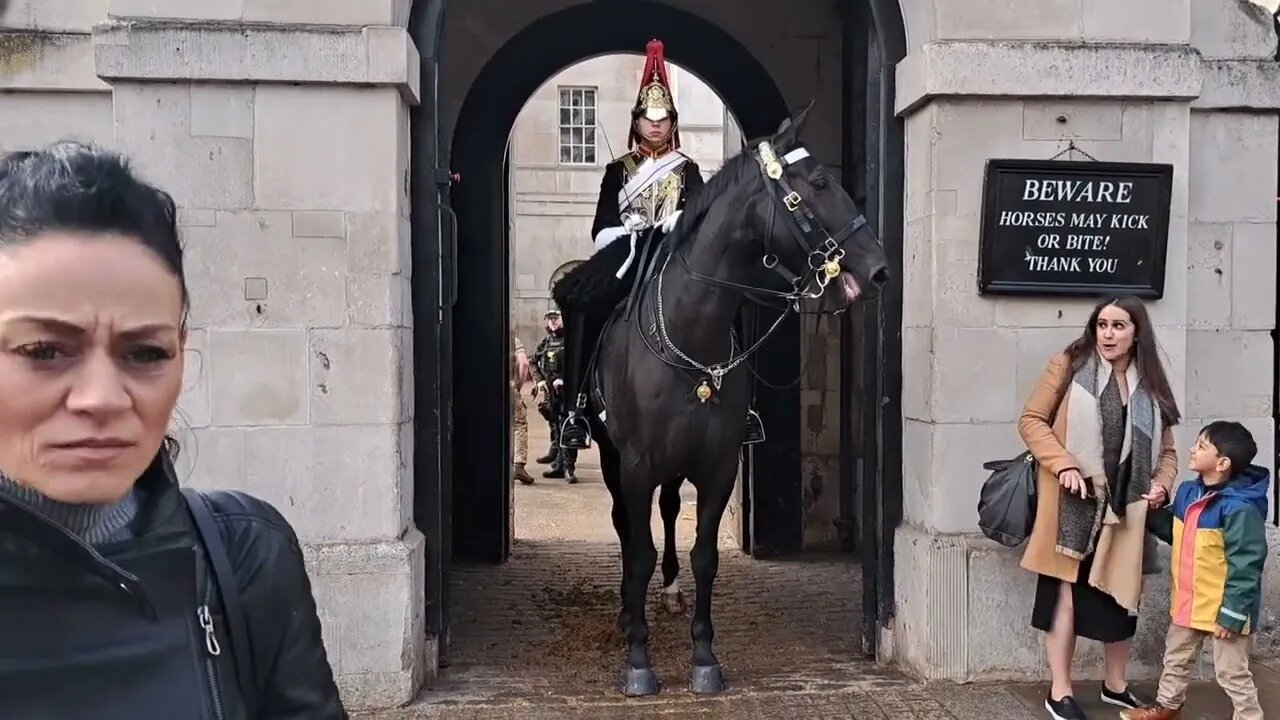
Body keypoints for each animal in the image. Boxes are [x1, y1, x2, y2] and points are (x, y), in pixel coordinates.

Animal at [550, 107, 890, 696]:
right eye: (819, 182)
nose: (877, 269)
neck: (691, 335)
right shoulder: (636, 463)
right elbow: (638, 551)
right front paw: (638, 660)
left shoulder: (718, 465)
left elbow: (704, 556)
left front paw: (704, 656)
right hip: (615, 457)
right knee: (624, 525)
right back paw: (627, 612)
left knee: (666, 511)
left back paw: (667, 594)